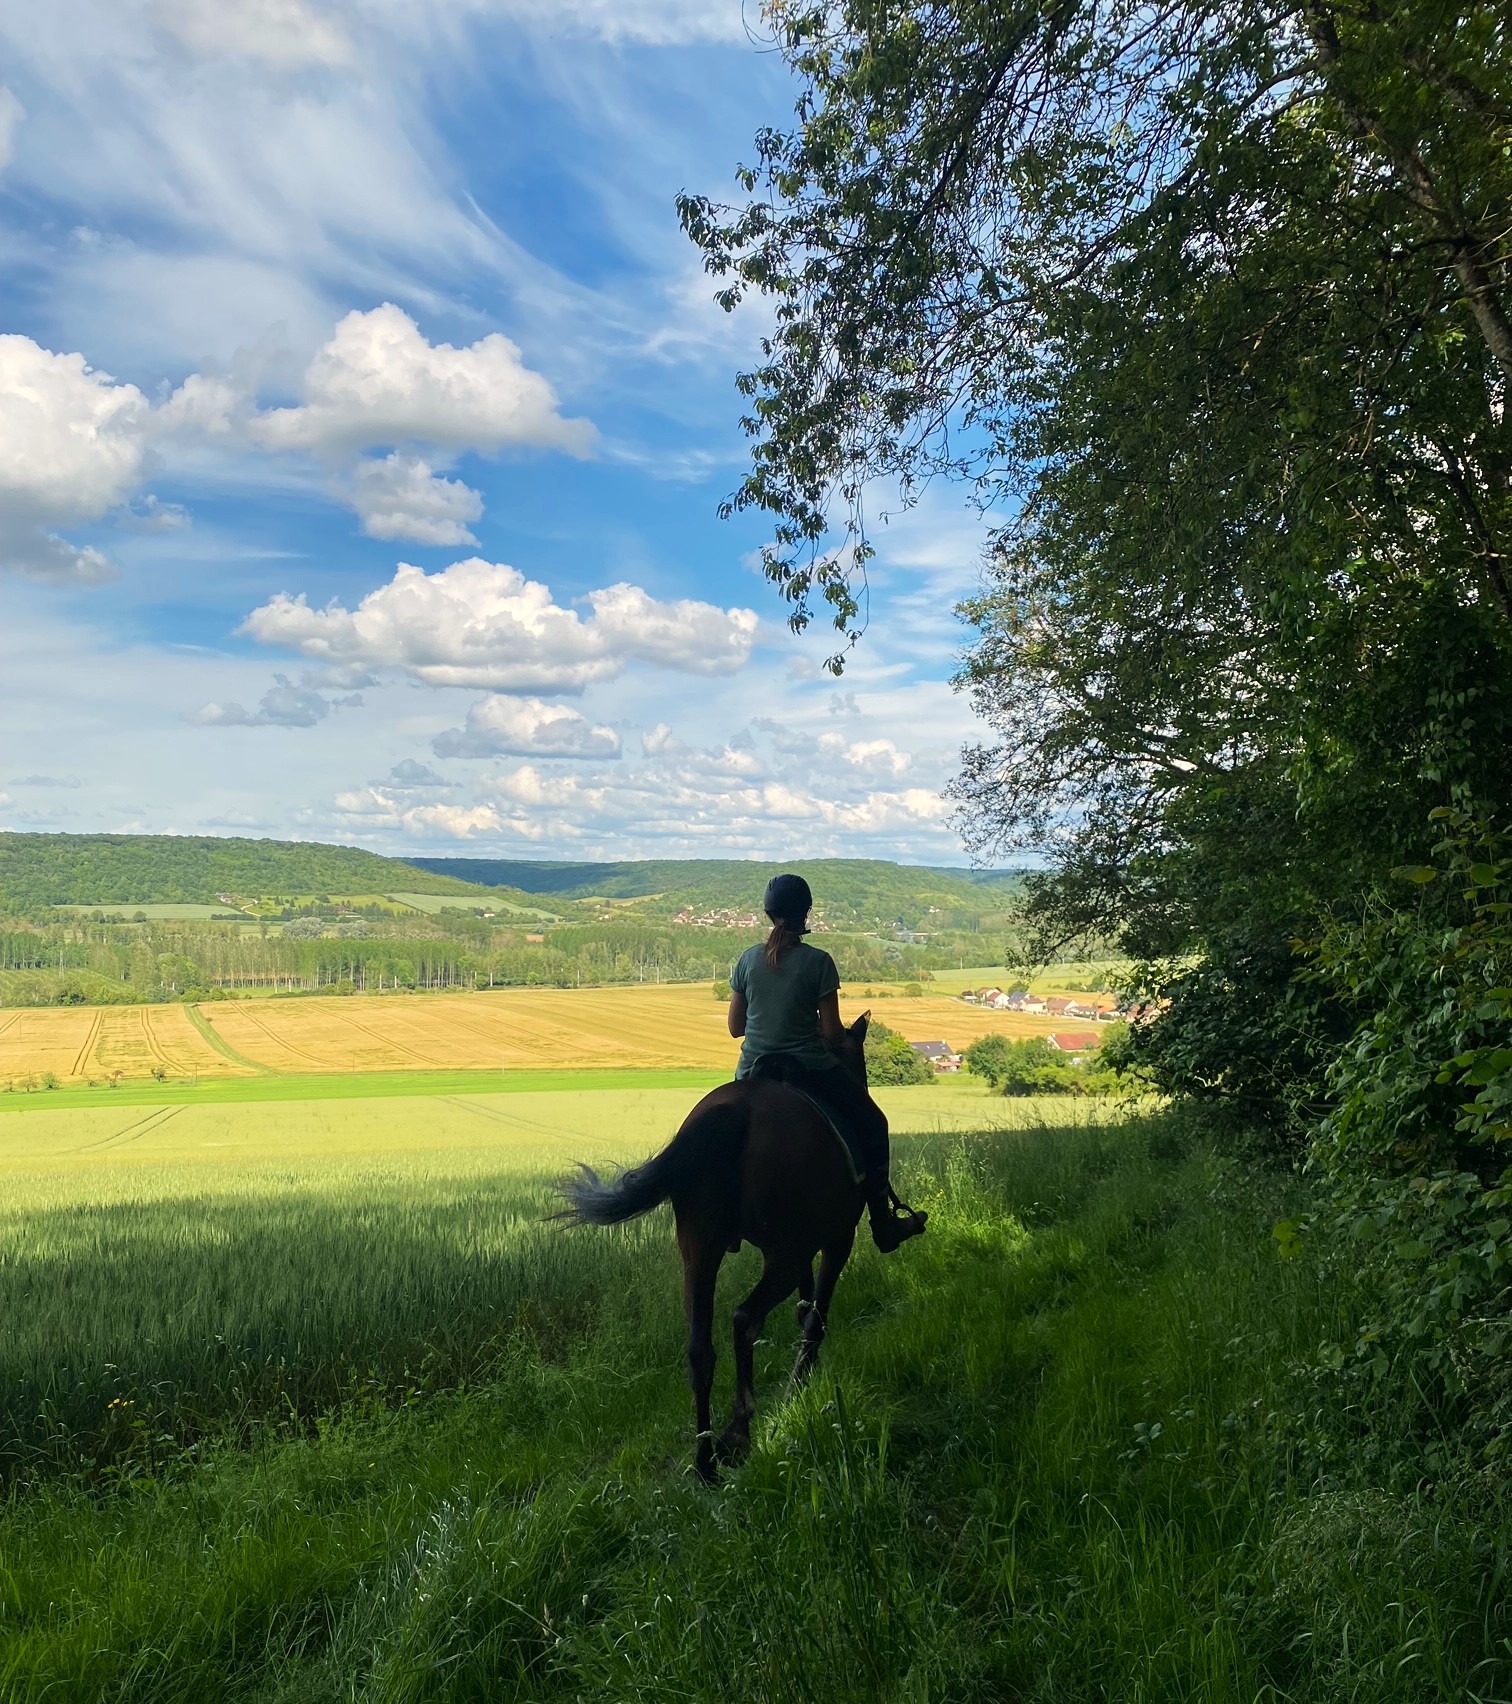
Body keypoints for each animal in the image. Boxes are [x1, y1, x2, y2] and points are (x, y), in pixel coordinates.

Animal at [552, 1008, 872, 1479]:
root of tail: (736, 1112)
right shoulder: (835, 1239)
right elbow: (816, 1315)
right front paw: (801, 1383)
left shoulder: (805, 1248)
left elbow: (805, 1307)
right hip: (781, 1254)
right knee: (744, 1319)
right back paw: (737, 1431)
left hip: (700, 1251)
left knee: (700, 1348)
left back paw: (705, 1460)